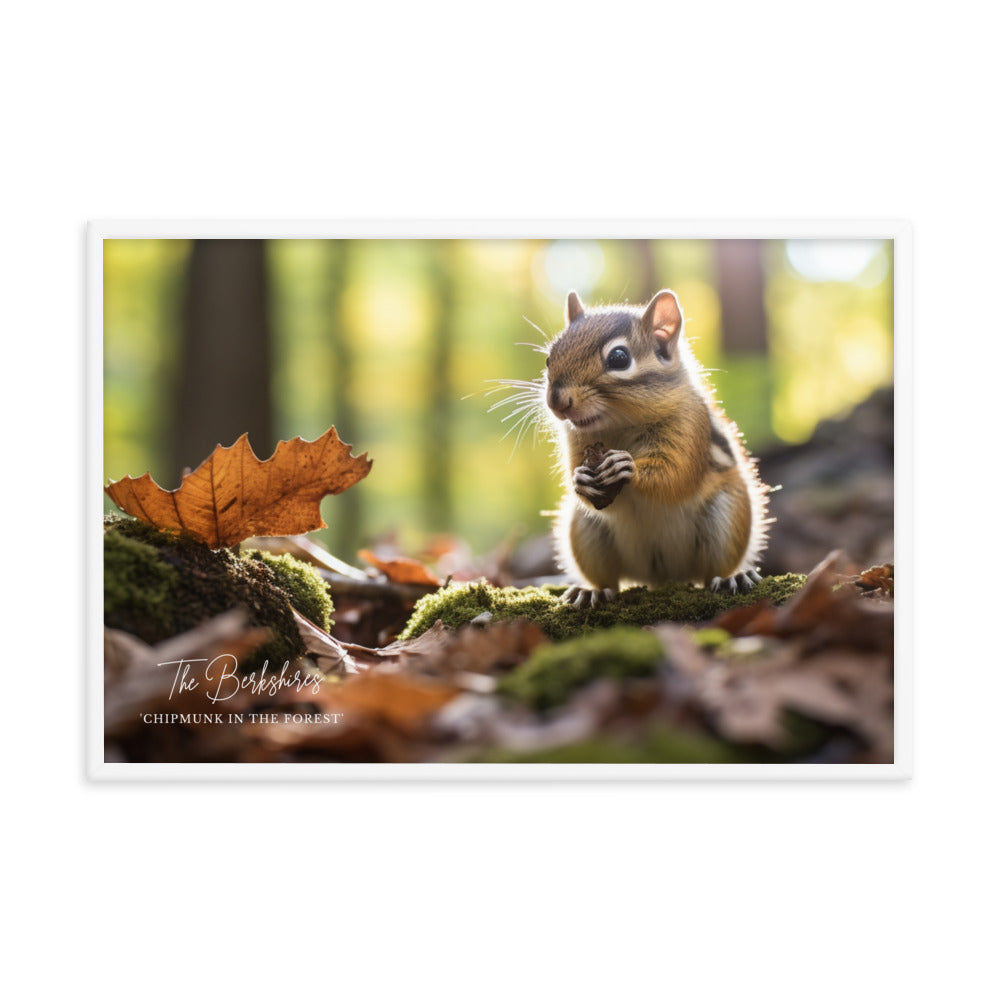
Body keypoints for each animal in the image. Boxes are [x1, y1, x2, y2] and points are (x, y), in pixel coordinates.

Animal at [531, 288, 771, 608]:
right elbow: (580, 479)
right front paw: (580, 480)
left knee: (713, 572)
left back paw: (733, 576)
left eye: (619, 358)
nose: (557, 401)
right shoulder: (576, 442)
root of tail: (663, 577)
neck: (620, 426)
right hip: (585, 530)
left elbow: (675, 475)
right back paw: (592, 591)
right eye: (549, 359)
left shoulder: (688, 426)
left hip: (727, 516)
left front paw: (626, 467)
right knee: (609, 581)